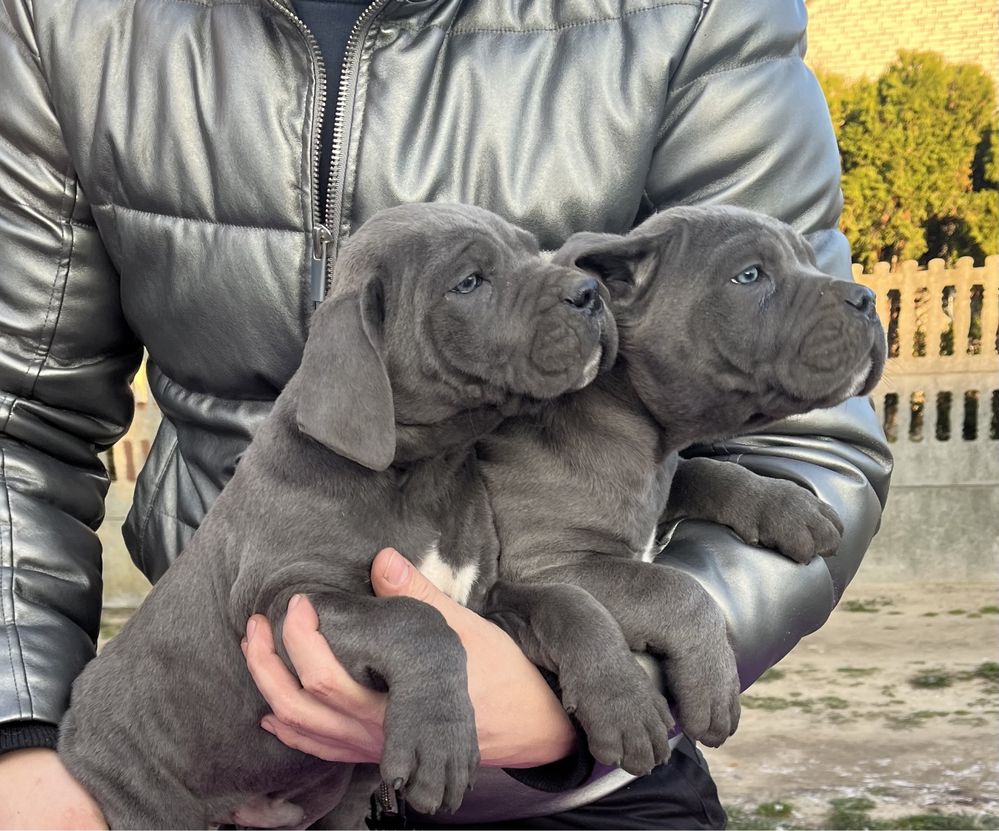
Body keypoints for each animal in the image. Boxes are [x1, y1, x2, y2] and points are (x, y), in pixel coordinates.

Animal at [478, 205, 892, 776]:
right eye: (749, 276)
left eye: (809, 260)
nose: (867, 298)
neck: (634, 430)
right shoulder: (547, 564)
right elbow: (674, 589)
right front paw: (712, 684)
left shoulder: (664, 477)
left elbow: (708, 473)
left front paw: (790, 507)